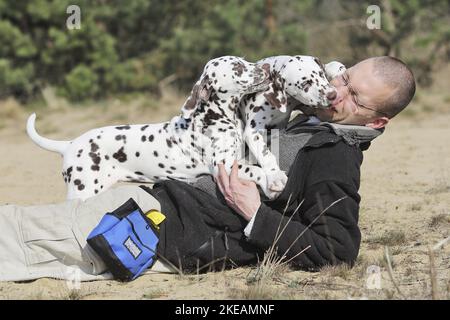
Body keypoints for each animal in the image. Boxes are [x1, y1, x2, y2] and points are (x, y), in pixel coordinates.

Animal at [27, 55, 282, 200]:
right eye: (238, 67)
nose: (267, 67)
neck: (216, 117)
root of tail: (69, 144)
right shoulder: (226, 166)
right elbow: (255, 170)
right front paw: (273, 180)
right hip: (83, 191)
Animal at [237, 55, 346, 195]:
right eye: (305, 84)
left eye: (320, 74)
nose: (332, 95)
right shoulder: (253, 130)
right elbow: (265, 153)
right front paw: (275, 176)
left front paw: (336, 69)